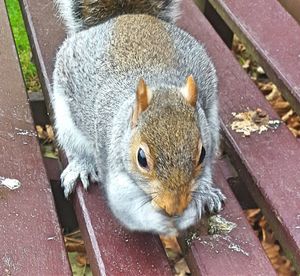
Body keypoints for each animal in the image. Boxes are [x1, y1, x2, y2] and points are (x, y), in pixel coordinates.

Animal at [52, 0, 225, 235]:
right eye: (141, 158)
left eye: (202, 154)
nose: (175, 207)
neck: (158, 85)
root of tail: (128, 16)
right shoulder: (112, 164)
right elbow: (126, 210)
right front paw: (158, 221)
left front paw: (201, 196)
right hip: (65, 118)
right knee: (76, 147)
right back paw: (82, 165)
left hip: (212, 120)